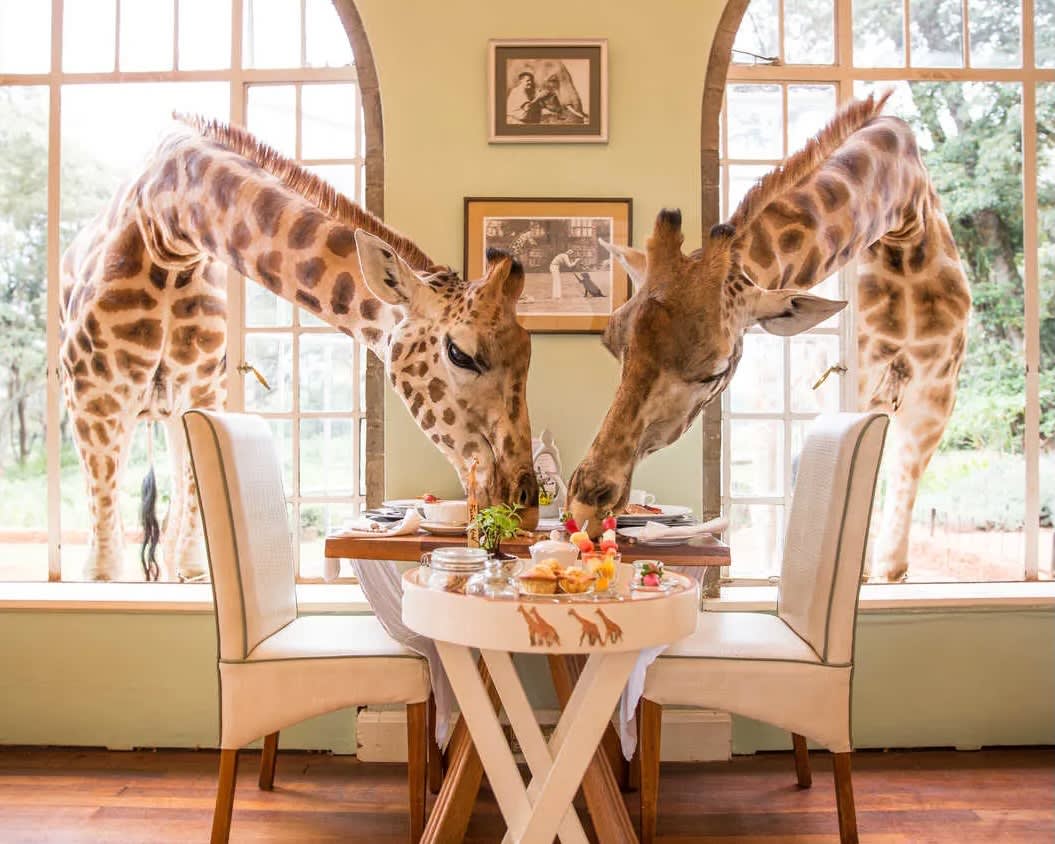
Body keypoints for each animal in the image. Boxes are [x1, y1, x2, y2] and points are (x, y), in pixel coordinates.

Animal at [60, 115, 538, 582]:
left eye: (528, 355)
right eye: (460, 354)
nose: (527, 504)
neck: (167, 227)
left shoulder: (202, 393)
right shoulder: (94, 400)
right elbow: (103, 567)